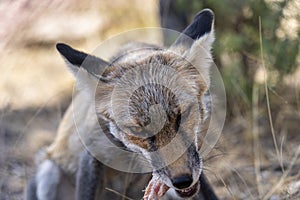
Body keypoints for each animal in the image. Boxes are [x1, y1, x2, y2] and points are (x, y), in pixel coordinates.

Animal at [24, 8, 219, 199]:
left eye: (182, 115)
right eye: (136, 130)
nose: (182, 180)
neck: (129, 155)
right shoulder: (90, 157)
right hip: (48, 171)